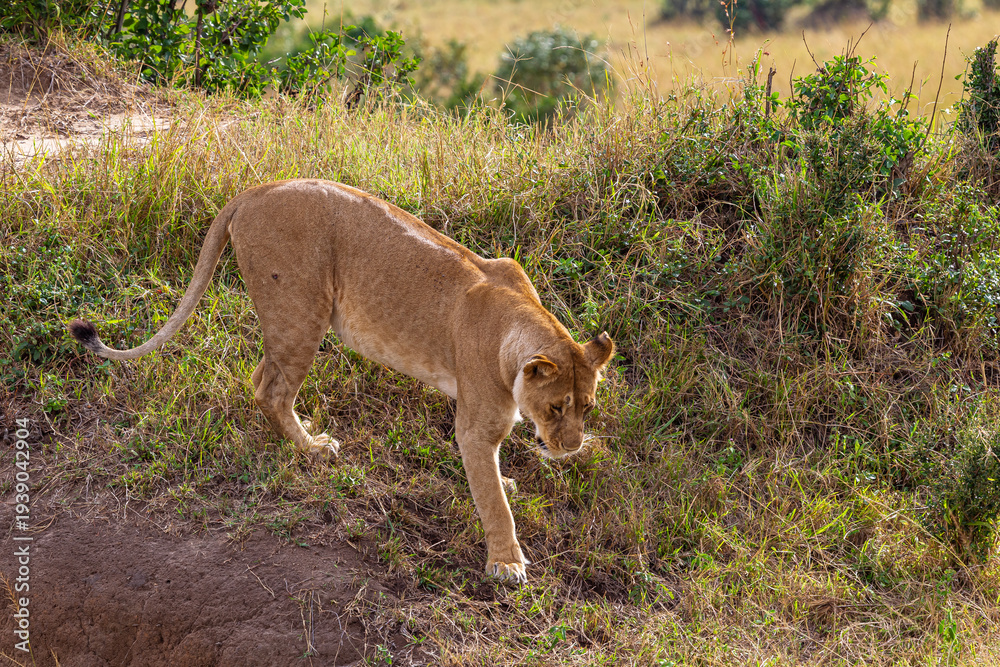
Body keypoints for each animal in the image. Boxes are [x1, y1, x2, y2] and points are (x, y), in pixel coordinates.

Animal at [69, 179, 614, 583]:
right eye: (556, 408)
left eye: (587, 407)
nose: (570, 448)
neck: (517, 325)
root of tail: (256, 190)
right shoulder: (476, 427)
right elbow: (494, 504)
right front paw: (507, 562)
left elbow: (490, 484)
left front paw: (504, 482)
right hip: (300, 311)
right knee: (270, 389)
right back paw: (313, 449)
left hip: (291, 319)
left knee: (261, 376)